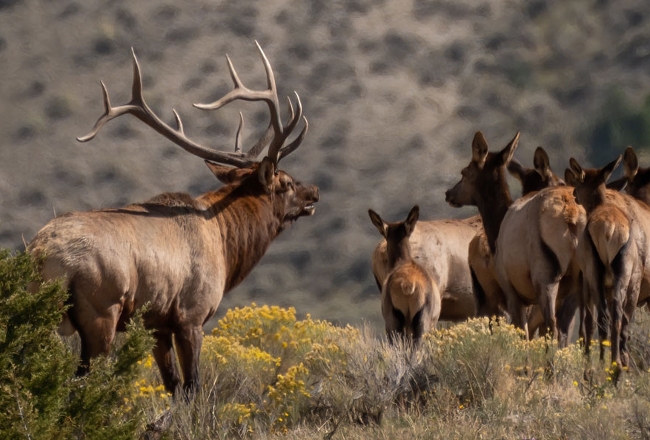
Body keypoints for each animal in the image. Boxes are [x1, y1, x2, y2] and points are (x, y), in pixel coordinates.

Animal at [27, 43, 318, 398]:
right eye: (286, 182)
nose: (314, 192)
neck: (226, 245)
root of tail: (42, 256)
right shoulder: (190, 315)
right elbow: (193, 387)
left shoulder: (157, 325)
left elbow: (173, 386)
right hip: (102, 310)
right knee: (82, 381)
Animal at [442, 132, 584, 346]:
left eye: (464, 172)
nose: (448, 194)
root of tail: (571, 216)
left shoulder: (511, 290)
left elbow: (522, 336)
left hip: (544, 275)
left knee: (553, 327)